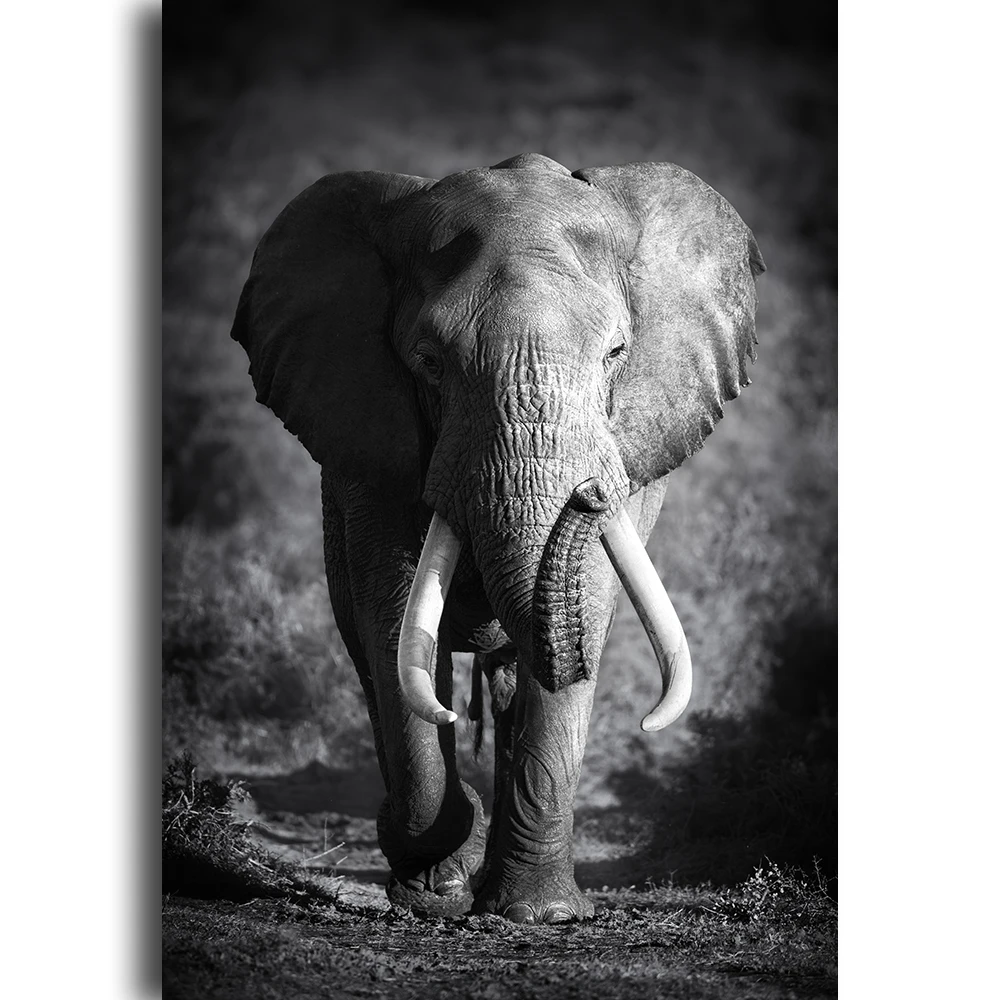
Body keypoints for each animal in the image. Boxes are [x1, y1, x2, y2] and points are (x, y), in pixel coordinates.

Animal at [231, 152, 765, 924]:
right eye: (429, 362)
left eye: (617, 354)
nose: (589, 494)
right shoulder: (370, 446)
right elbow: (392, 616)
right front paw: (433, 888)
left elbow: (587, 607)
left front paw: (539, 915)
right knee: (373, 655)